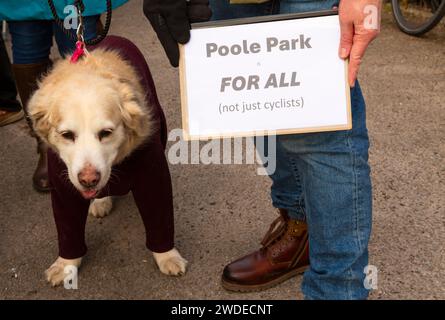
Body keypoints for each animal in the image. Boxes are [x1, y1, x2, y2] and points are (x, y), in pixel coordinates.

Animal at [27, 36, 187, 286]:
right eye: (67, 135)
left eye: (106, 133)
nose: (89, 179)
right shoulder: (63, 190)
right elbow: (67, 230)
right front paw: (65, 264)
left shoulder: (152, 177)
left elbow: (160, 220)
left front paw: (167, 256)